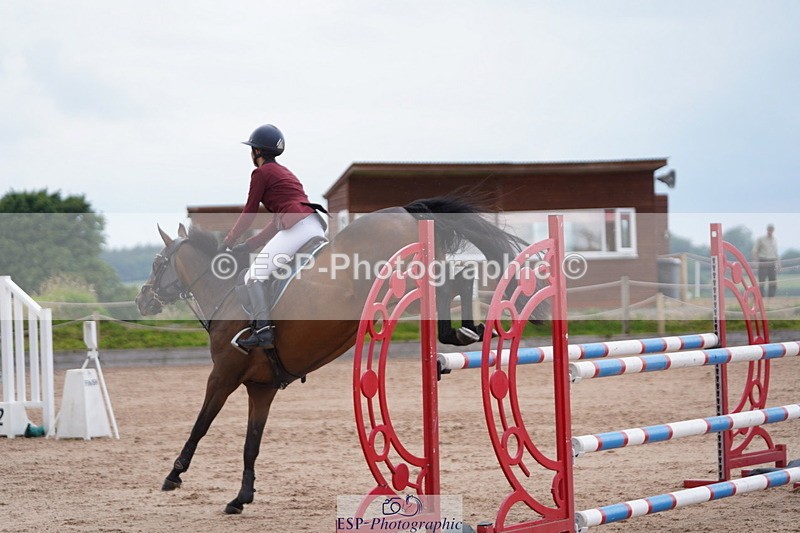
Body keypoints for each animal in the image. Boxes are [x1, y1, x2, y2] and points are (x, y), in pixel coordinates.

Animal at [135, 196, 546, 515]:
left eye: (157, 263)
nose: (142, 300)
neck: (225, 296)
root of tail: (405, 209)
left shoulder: (223, 375)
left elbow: (200, 425)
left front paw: (174, 475)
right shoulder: (260, 389)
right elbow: (251, 445)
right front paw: (241, 497)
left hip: (402, 280)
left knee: (453, 281)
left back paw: (462, 330)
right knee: (460, 277)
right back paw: (468, 331)